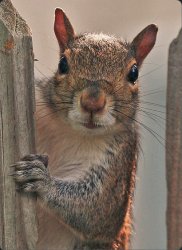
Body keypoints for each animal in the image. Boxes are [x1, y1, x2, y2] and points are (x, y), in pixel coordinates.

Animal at [12, 7, 158, 250]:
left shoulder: (120, 161)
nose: (92, 103)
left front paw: (42, 180)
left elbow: (95, 209)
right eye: (63, 64)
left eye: (134, 73)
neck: (71, 130)